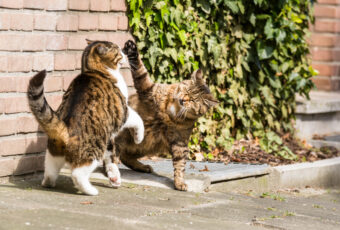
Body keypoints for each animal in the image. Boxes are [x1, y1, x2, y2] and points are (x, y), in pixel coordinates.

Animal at [111, 40, 218, 191]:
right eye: (186, 90)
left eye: (193, 100)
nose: (183, 99)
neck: (171, 113)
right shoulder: (148, 88)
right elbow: (140, 69)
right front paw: (132, 48)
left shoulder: (180, 142)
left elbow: (180, 164)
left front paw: (179, 182)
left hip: (144, 144)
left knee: (125, 156)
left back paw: (143, 167)